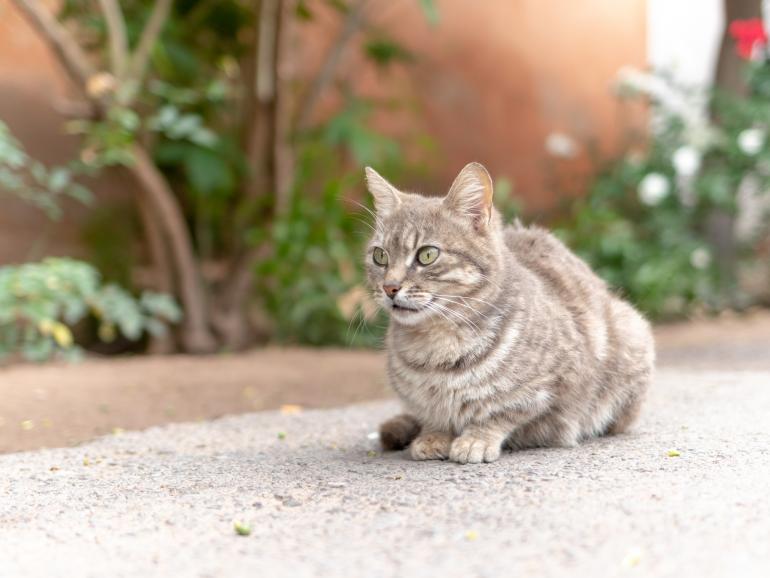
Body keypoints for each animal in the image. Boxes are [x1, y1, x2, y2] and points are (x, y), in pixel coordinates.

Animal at [364, 162, 652, 464]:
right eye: (380, 256)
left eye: (427, 255)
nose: (389, 287)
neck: (434, 348)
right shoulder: (419, 401)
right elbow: (433, 417)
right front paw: (434, 436)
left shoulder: (555, 383)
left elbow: (501, 412)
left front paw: (476, 439)